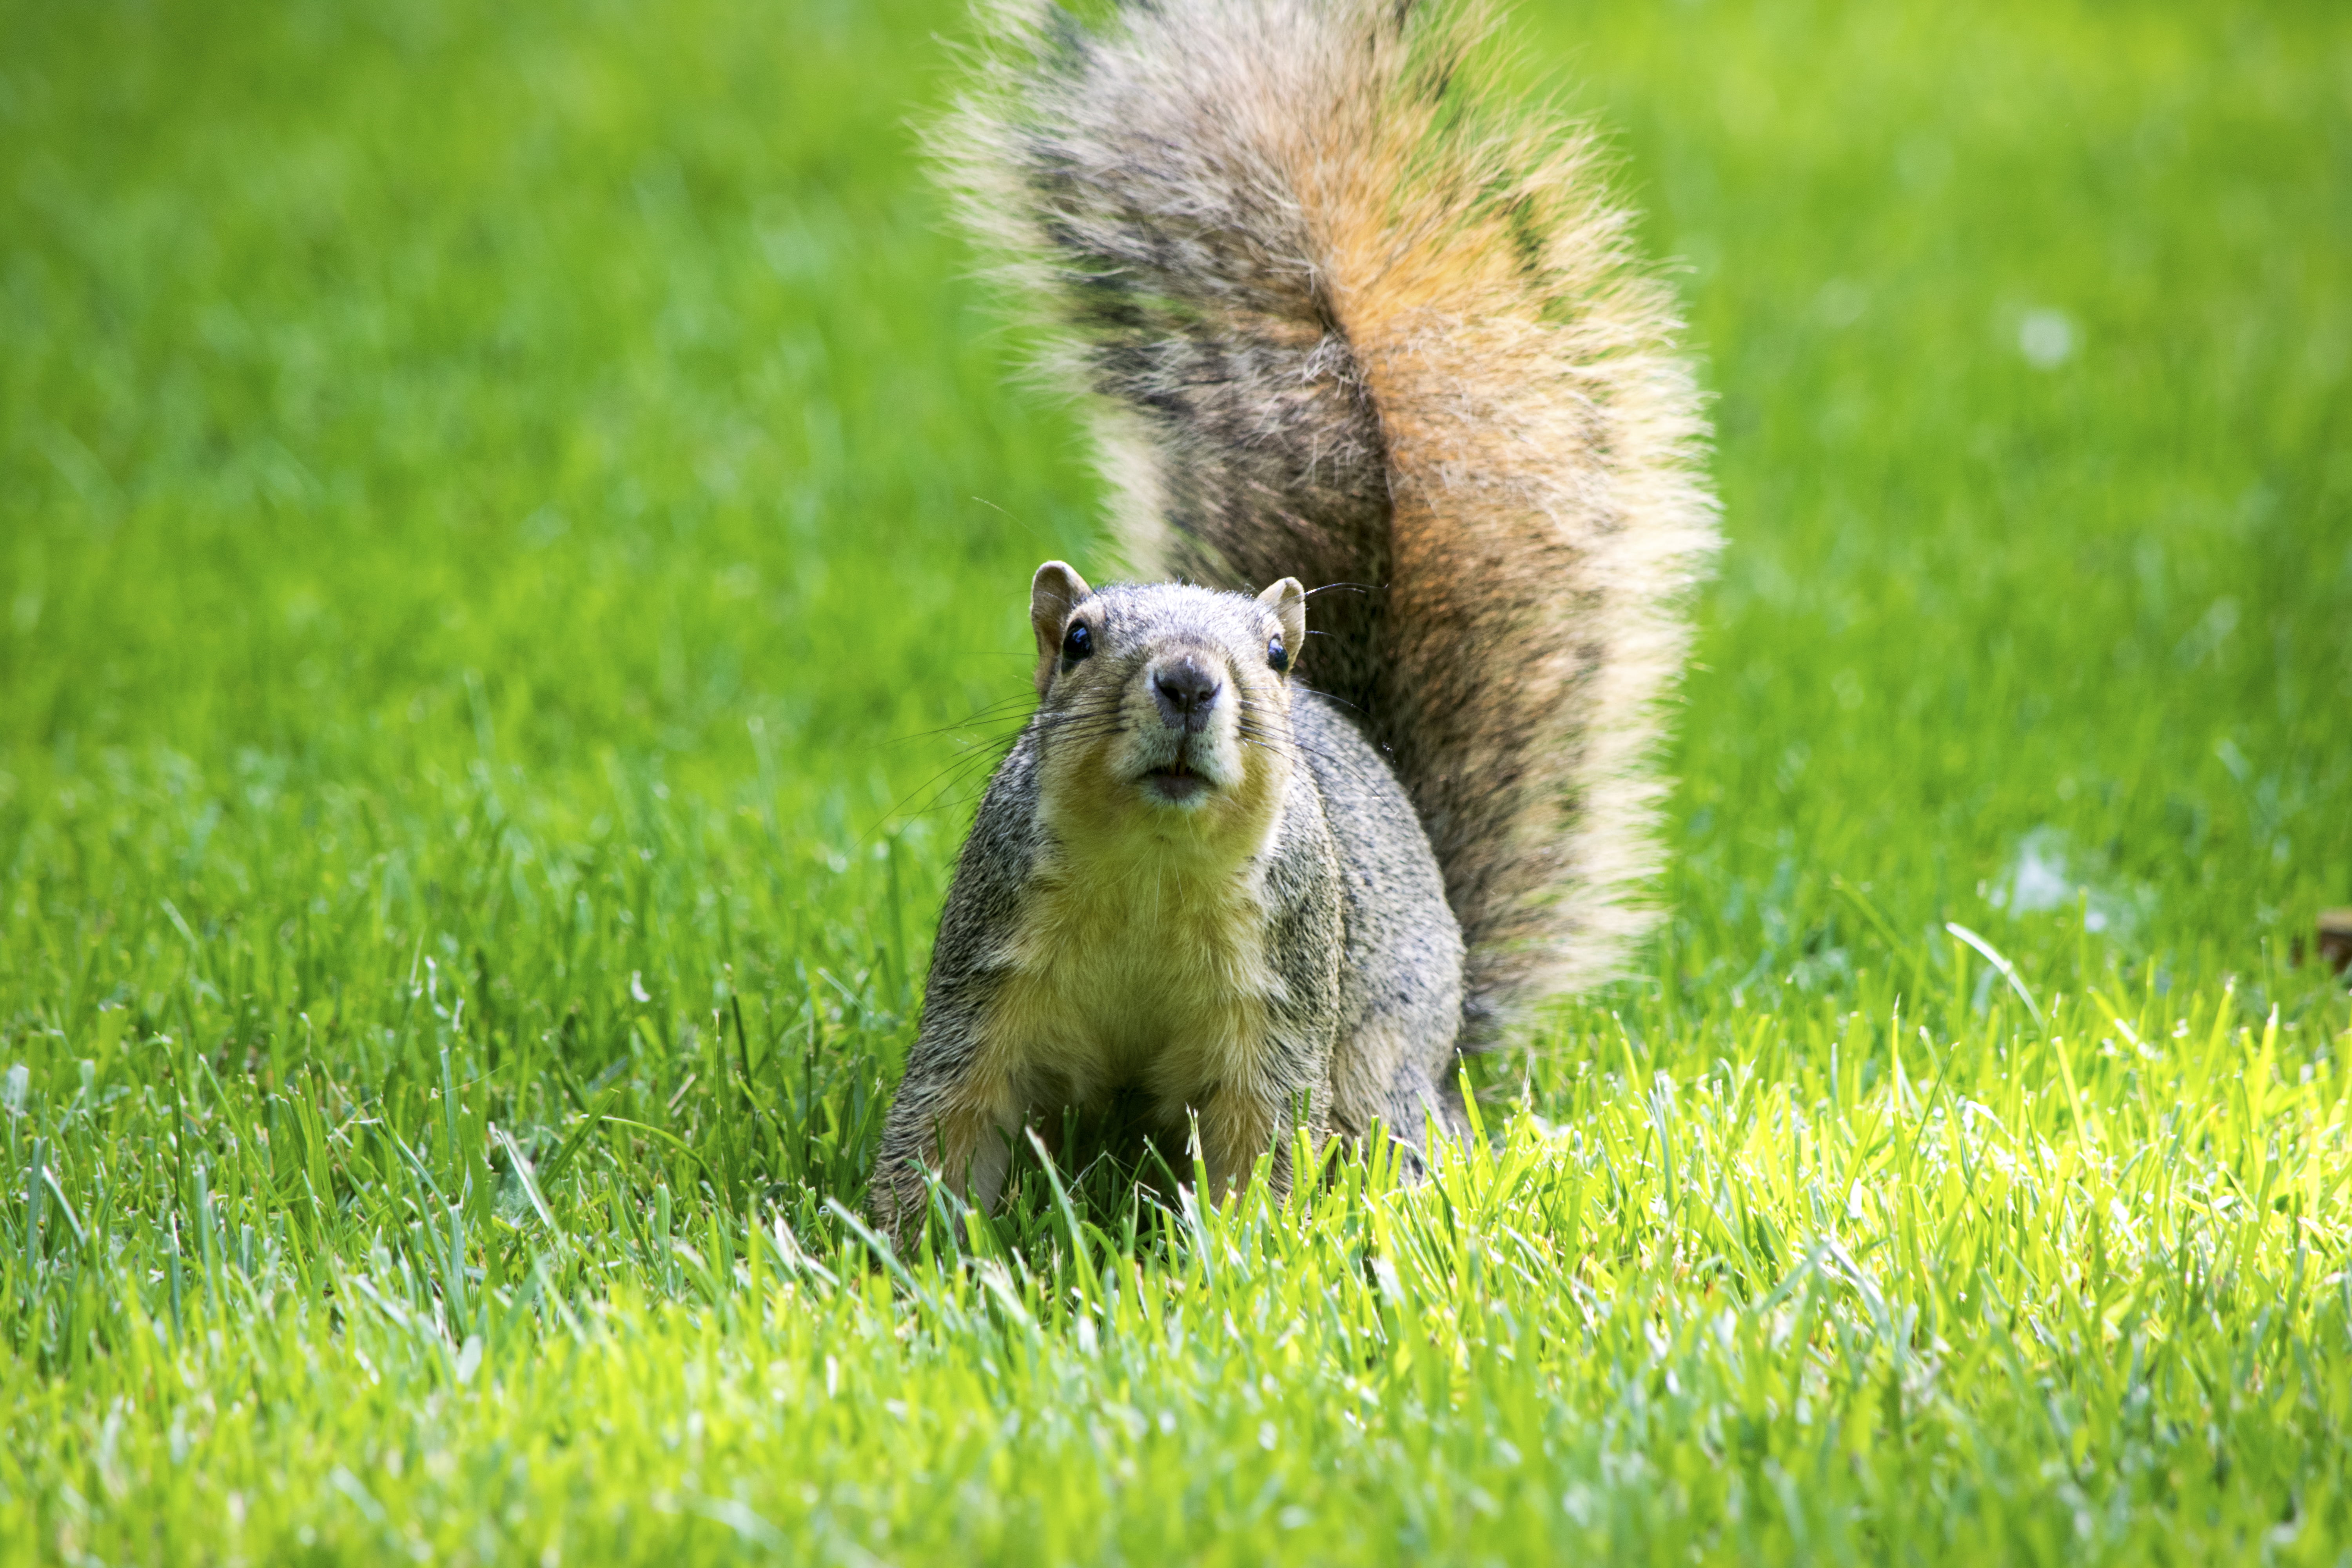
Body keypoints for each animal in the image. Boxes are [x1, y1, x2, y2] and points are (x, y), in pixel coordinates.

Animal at [870, 0, 1719, 1239]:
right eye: (1077, 642)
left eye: (1273, 654)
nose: (1188, 682)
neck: (1153, 876)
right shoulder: (986, 987)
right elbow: (941, 1123)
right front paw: (890, 1252)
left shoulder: (1278, 1019)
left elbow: (1262, 1144)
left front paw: (1236, 1259)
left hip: (1378, 1060)